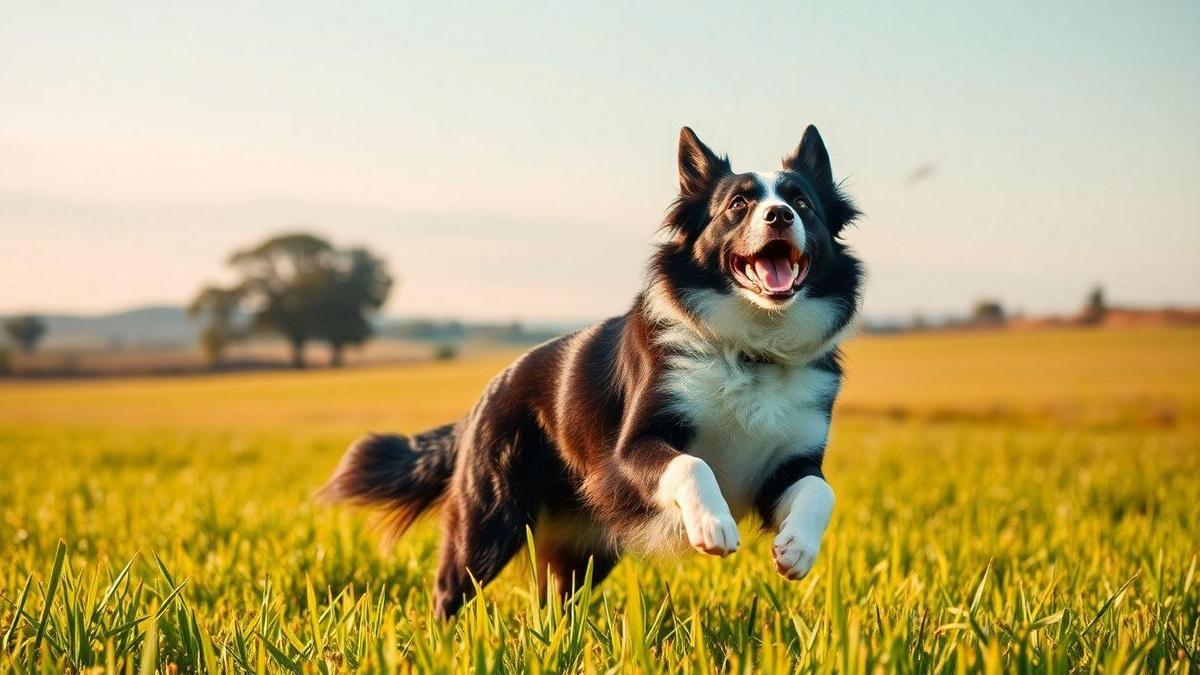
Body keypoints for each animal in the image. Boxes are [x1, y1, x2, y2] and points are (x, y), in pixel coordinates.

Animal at [321, 124, 864, 614]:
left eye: (803, 203)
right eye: (738, 205)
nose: (779, 215)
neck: (751, 349)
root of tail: (483, 399)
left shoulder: (785, 463)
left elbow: (821, 489)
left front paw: (797, 549)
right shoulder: (630, 450)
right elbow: (693, 463)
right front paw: (714, 525)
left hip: (584, 546)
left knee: (555, 601)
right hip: (489, 516)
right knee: (450, 588)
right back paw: (442, 642)